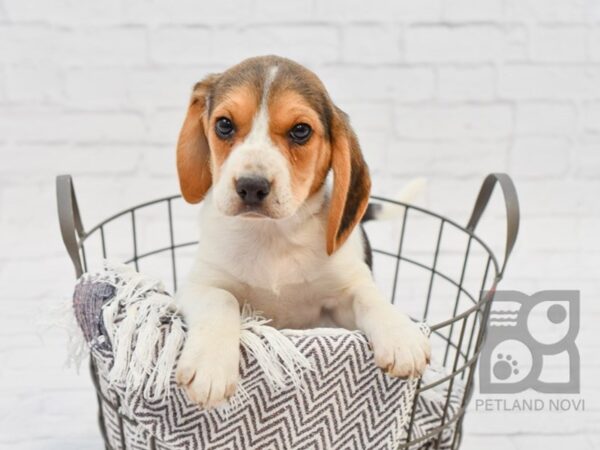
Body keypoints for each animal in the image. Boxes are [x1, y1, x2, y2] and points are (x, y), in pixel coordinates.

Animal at [175, 55, 432, 408]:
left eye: (300, 131)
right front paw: (210, 364)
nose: (251, 186)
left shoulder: (341, 298)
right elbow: (221, 300)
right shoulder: (198, 285)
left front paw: (400, 334)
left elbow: (369, 297)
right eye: (224, 125)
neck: (272, 235)